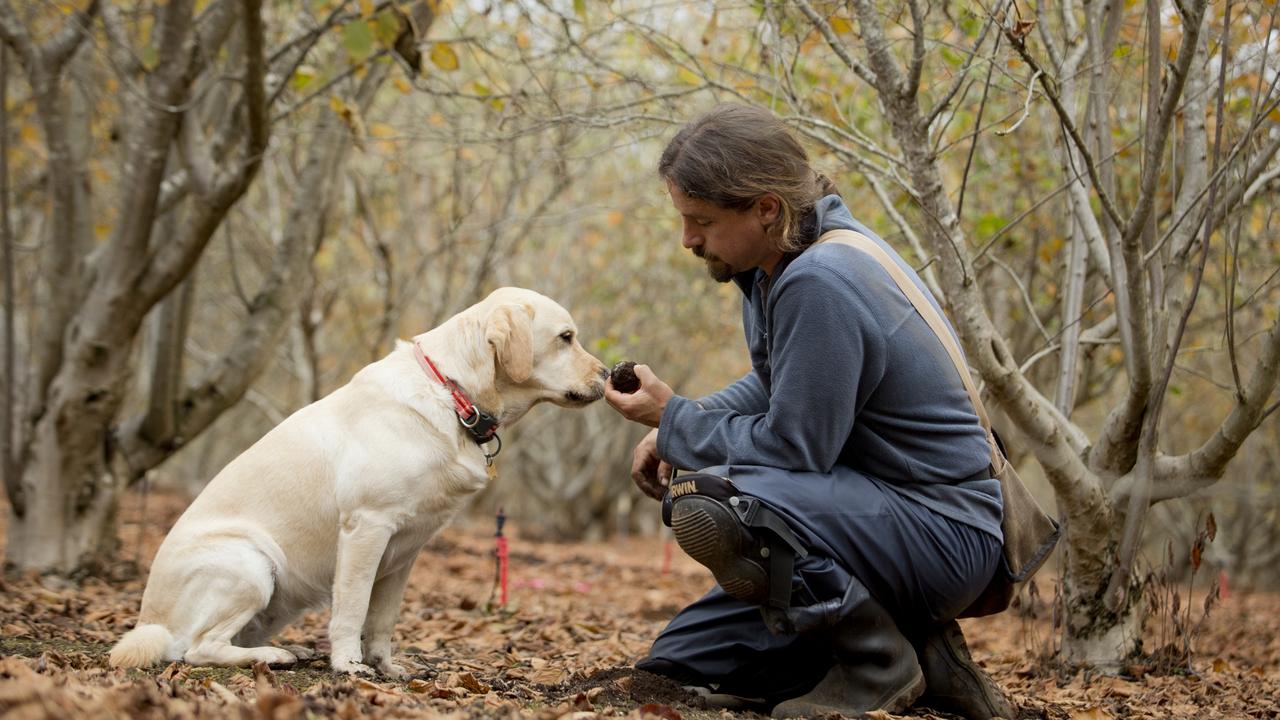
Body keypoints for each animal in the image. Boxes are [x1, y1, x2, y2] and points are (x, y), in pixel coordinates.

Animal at [111, 285, 609, 671]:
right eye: (566, 337)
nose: (609, 374)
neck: (453, 394)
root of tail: (151, 622)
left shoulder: (409, 547)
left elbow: (383, 618)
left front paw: (386, 666)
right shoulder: (366, 527)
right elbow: (352, 607)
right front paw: (349, 665)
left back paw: (285, 650)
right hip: (250, 563)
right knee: (198, 649)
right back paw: (272, 657)